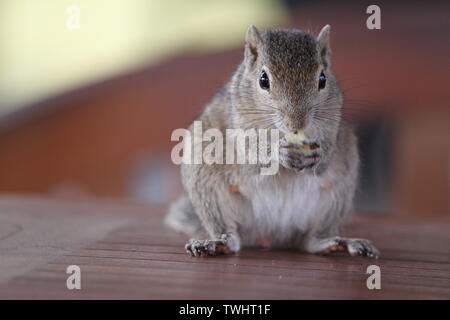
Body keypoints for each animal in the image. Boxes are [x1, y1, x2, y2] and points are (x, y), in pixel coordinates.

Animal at [165, 26, 380, 258]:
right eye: (263, 80)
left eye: (323, 79)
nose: (297, 122)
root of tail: (270, 234)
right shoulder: (238, 122)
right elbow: (249, 151)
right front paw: (279, 153)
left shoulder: (333, 125)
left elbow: (325, 157)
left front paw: (318, 155)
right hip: (206, 182)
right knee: (231, 236)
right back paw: (217, 243)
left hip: (338, 193)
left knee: (309, 241)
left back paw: (333, 242)